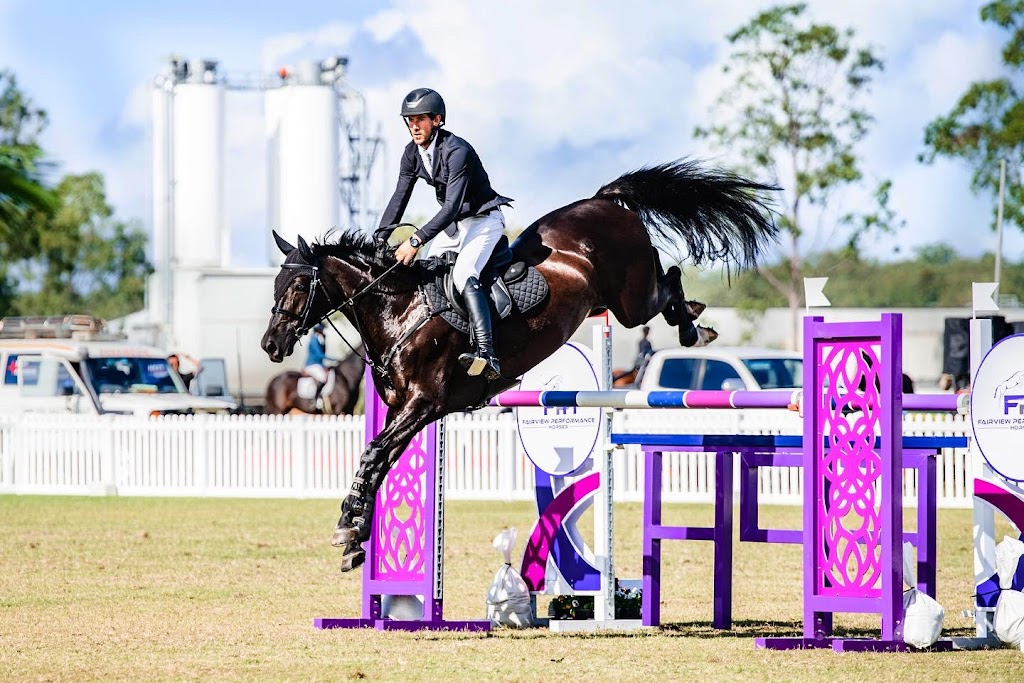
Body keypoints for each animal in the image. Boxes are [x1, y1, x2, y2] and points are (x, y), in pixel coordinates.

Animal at [261, 159, 779, 572]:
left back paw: (695, 327)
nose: (270, 344)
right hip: (611, 301)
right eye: (276, 285)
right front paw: (354, 534)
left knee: (668, 281)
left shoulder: (424, 404)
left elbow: (373, 455)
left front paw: (349, 529)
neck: (401, 309)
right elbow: (378, 460)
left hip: (631, 300)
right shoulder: (401, 408)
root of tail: (602, 201)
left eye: (297, 287)